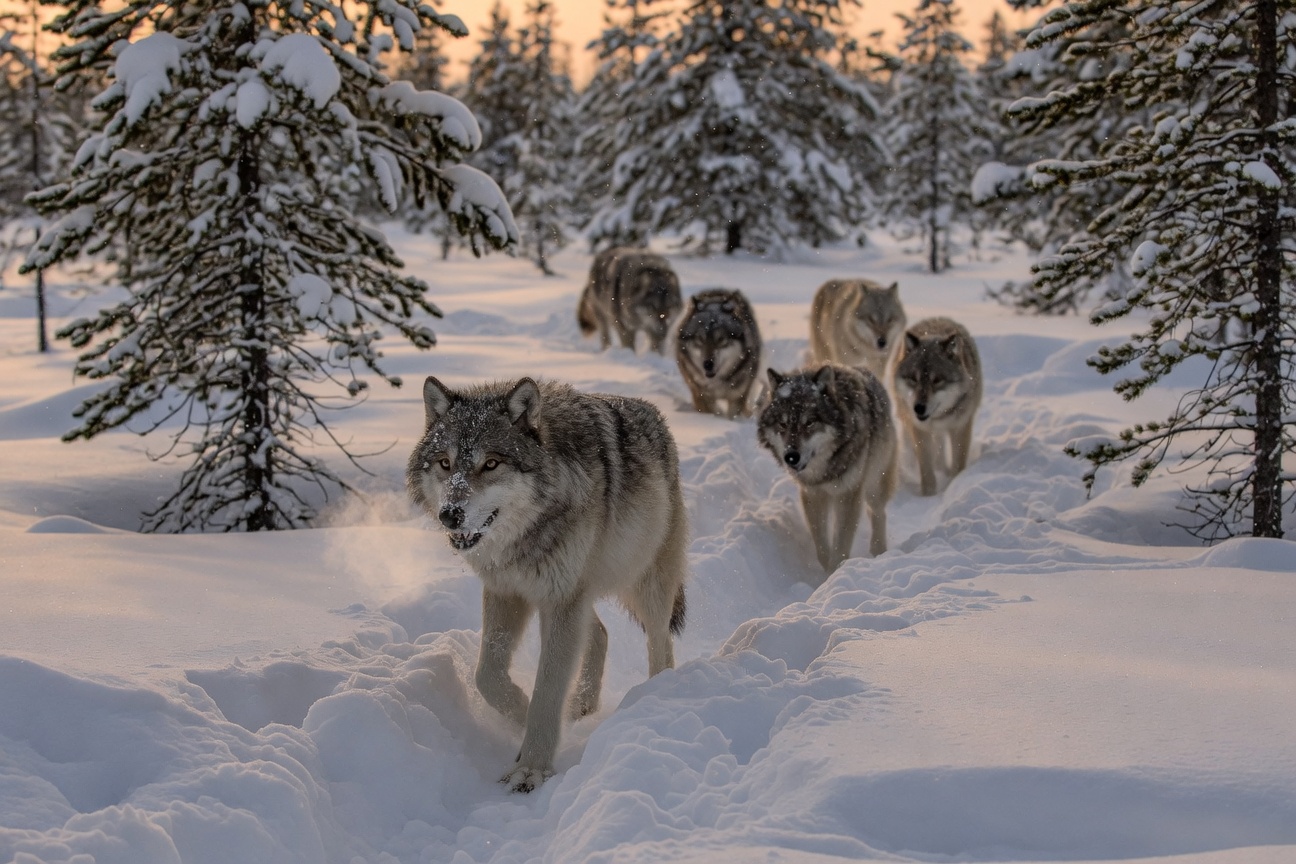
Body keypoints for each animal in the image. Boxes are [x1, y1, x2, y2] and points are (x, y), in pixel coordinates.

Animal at [406, 376, 688, 793]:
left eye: (491, 463)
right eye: (445, 463)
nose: (450, 515)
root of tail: (655, 414)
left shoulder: (560, 600)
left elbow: (548, 689)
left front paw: (532, 768)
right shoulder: (508, 591)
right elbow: (486, 676)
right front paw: (524, 722)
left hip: (644, 585)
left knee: (660, 643)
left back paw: (653, 698)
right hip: (582, 593)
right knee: (601, 633)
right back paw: (581, 708)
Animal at [675, 288, 763, 419]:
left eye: (721, 339)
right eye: (700, 339)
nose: (707, 364)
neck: (716, 382)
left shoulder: (737, 397)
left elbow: (732, 416)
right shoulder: (702, 396)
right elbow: (712, 412)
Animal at [757, 364, 897, 575]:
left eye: (809, 422)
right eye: (783, 424)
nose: (791, 457)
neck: (823, 472)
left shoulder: (848, 494)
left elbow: (840, 545)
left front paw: (836, 573)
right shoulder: (813, 494)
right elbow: (821, 546)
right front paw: (828, 572)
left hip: (875, 484)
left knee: (878, 512)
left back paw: (878, 551)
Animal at [892, 317, 983, 496]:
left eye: (937, 380)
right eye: (913, 378)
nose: (918, 408)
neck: (939, 418)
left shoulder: (960, 427)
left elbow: (958, 464)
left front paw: (953, 485)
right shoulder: (920, 430)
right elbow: (927, 470)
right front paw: (929, 495)